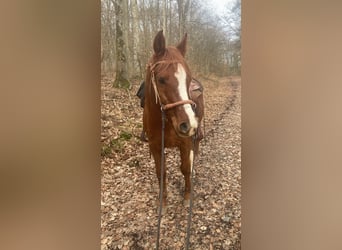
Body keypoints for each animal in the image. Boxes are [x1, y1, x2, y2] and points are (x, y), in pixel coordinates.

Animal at [144, 30, 204, 214]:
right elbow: (161, 173)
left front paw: (187, 197)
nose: (188, 124)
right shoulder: (156, 146)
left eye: (188, 79)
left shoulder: (185, 143)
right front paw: (162, 204)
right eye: (161, 79)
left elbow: (184, 168)